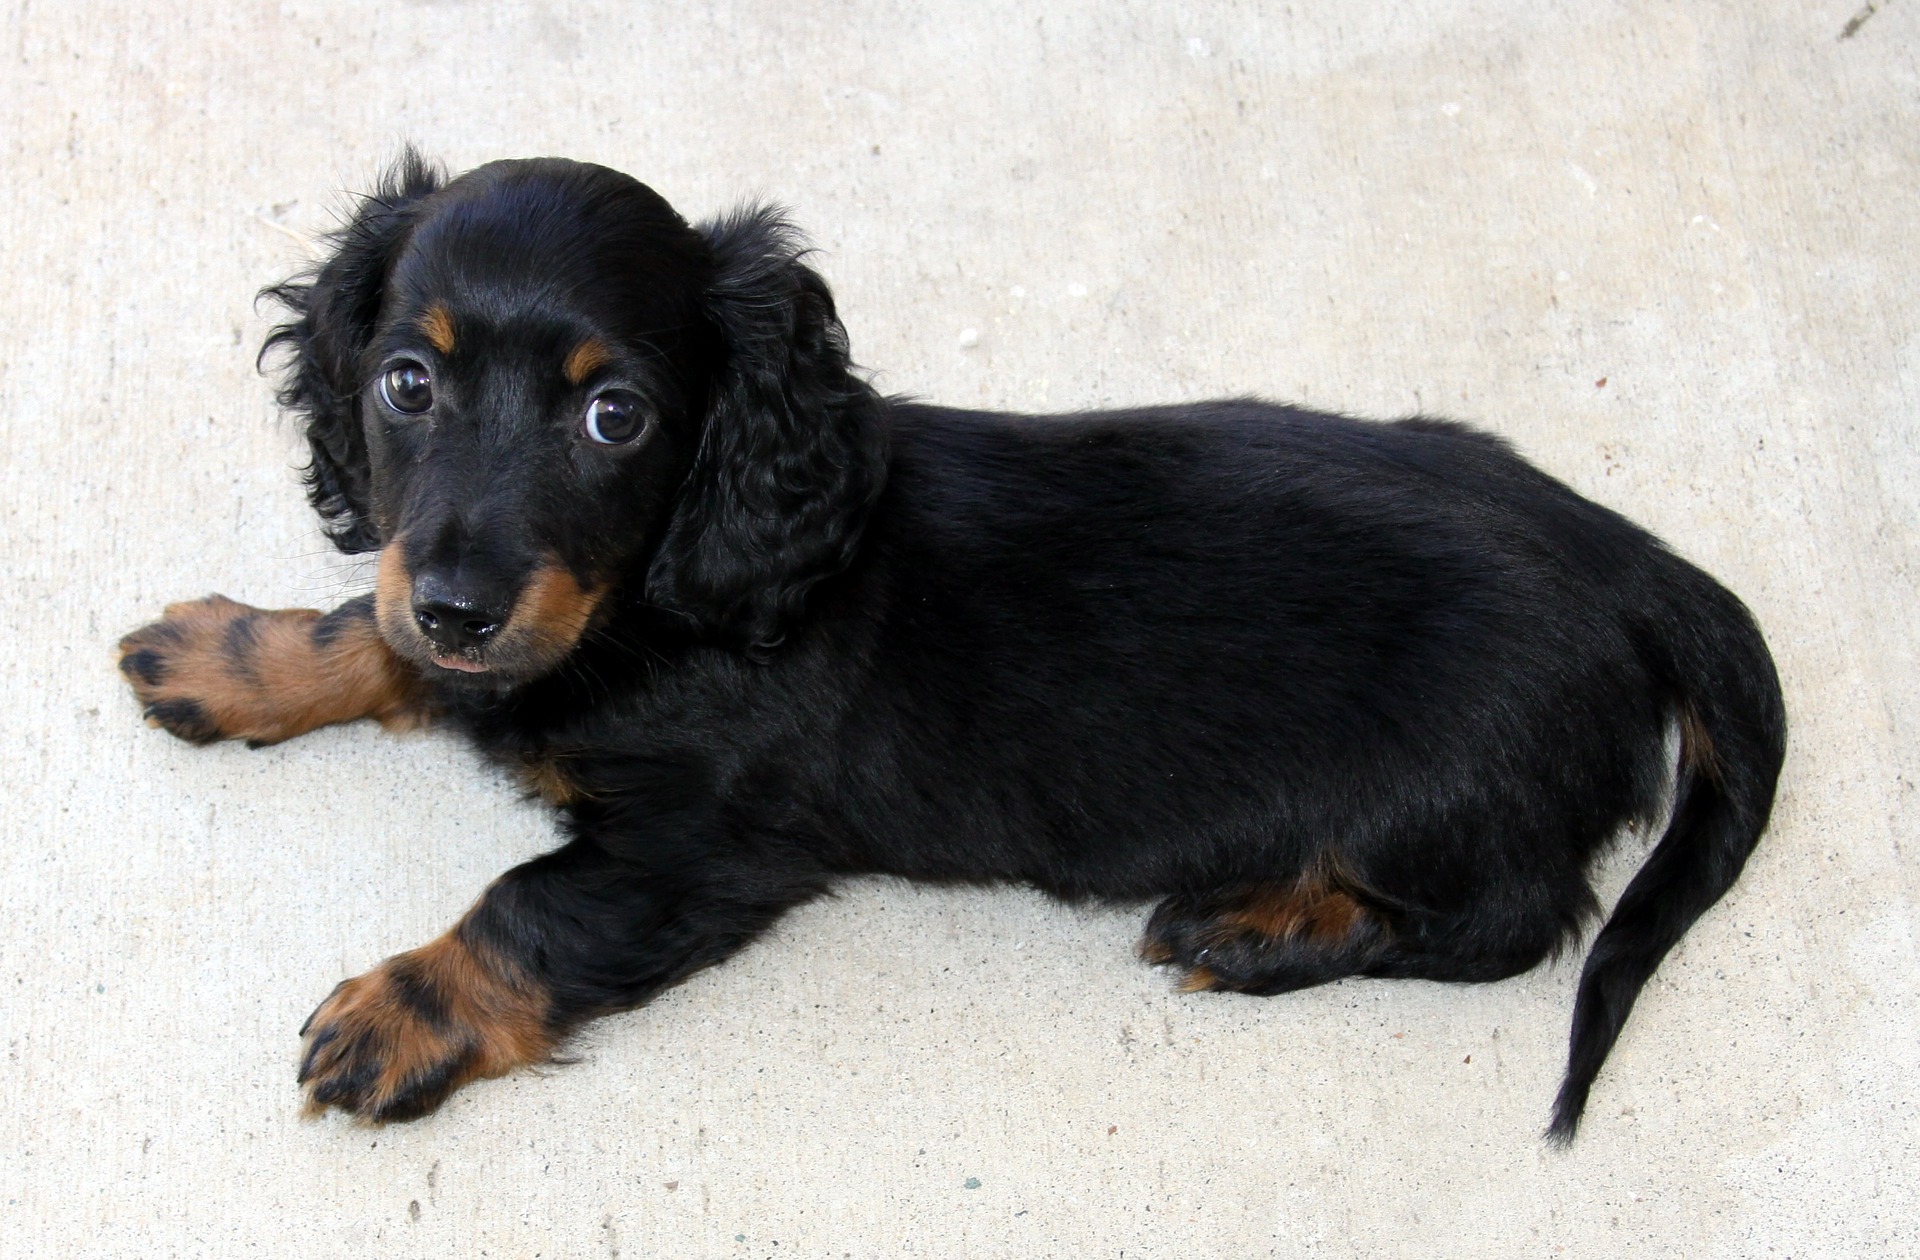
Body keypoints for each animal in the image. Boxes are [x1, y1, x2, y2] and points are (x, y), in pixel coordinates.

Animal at [120, 152, 1781, 1137]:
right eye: (407, 381)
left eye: (616, 417)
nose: (462, 603)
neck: (658, 593)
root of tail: (1630, 564)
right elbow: (372, 630)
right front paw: (239, 656)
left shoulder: (699, 852)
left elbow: (527, 909)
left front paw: (400, 1013)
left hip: (1436, 802)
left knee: (1518, 920)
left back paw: (1258, 931)